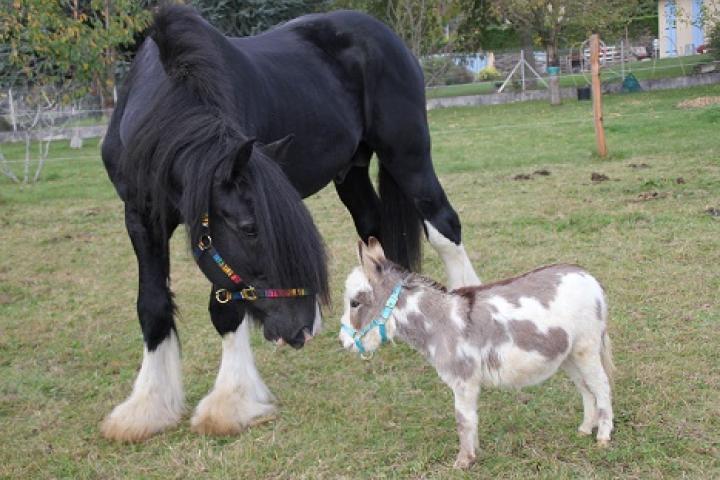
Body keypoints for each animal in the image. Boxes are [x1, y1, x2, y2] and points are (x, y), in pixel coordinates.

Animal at [98, 4, 476, 442]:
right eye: (249, 227)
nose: (300, 330)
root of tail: (383, 33)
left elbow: (224, 310)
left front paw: (230, 403)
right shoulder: (142, 218)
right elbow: (153, 305)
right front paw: (147, 408)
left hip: (407, 154)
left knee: (444, 225)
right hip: (351, 170)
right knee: (372, 225)